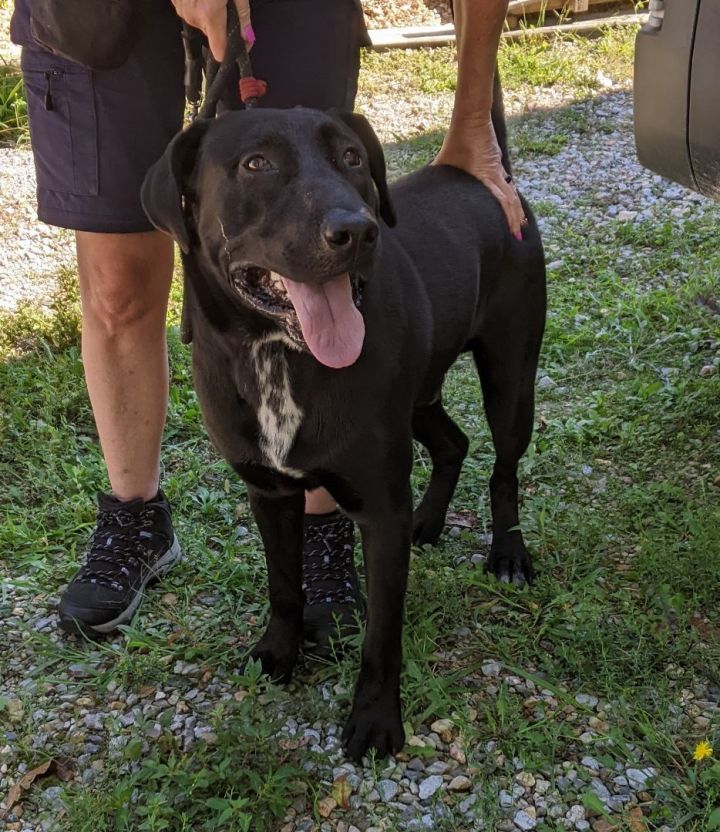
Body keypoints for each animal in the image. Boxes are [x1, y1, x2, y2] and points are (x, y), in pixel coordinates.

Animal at [141, 91, 544, 760]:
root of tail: (484, 175)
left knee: (505, 468)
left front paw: (377, 717)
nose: (357, 230)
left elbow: (382, 634)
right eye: (255, 164)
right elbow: (283, 584)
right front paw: (278, 652)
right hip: (418, 397)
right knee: (454, 442)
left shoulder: (379, 507)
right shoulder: (269, 491)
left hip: (511, 378)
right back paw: (428, 520)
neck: (277, 353)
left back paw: (508, 552)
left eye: (353, 157)